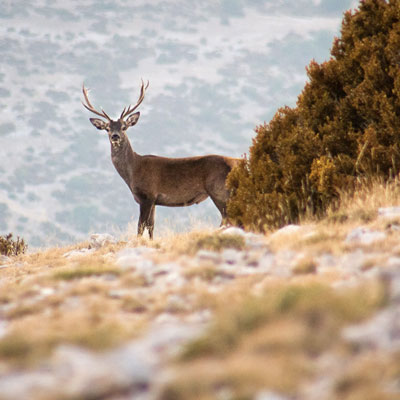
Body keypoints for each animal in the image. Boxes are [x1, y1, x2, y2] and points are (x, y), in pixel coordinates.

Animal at [81, 79, 238, 239]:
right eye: (107, 128)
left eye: (124, 127)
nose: (115, 136)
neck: (132, 171)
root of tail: (236, 163)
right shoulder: (154, 200)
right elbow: (151, 226)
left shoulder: (147, 195)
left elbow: (140, 227)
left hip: (219, 190)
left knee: (229, 219)